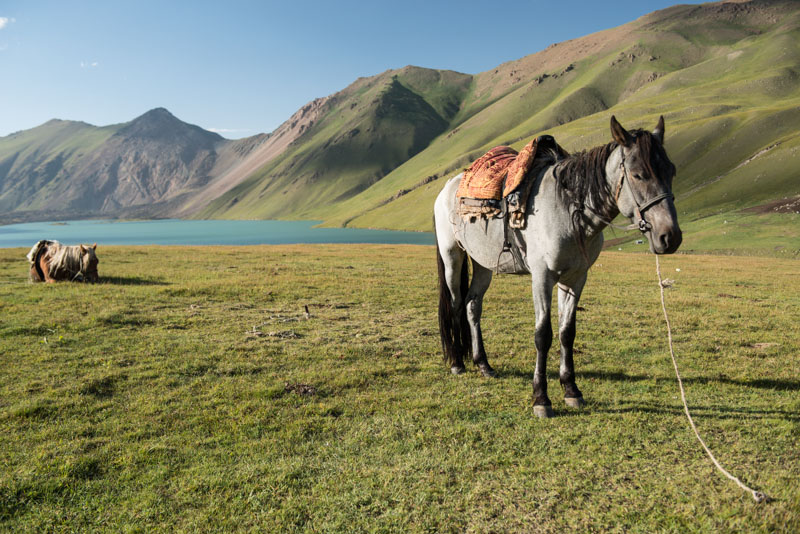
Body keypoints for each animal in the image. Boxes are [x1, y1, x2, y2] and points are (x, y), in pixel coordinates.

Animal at [438, 116, 680, 418]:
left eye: (671, 171)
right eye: (638, 174)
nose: (670, 237)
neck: (569, 211)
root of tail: (448, 187)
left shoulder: (575, 278)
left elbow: (567, 332)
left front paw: (571, 390)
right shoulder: (542, 277)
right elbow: (543, 334)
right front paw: (541, 398)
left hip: (483, 263)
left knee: (473, 305)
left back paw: (483, 364)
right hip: (452, 256)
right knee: (457, 304)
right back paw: (457, 363)